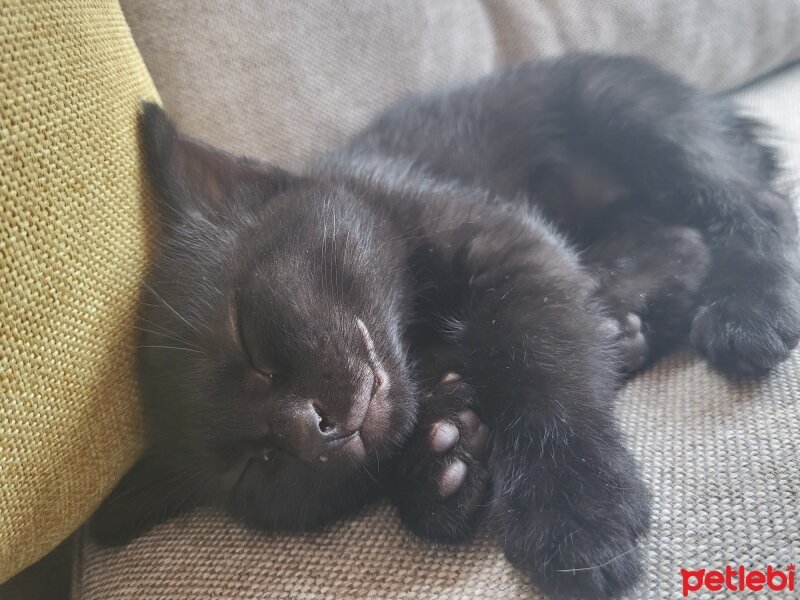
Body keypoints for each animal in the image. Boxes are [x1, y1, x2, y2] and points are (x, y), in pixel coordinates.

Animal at [90, 54, 796, 596]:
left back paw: (747, 314)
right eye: (256, 465)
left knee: (755, 209)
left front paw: (570, 512)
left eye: (248, 338)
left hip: (629, 113)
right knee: (678, 241)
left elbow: (540, 365)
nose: (312, 430)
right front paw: (440, 464)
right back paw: (624, 323)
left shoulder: (509, 250)